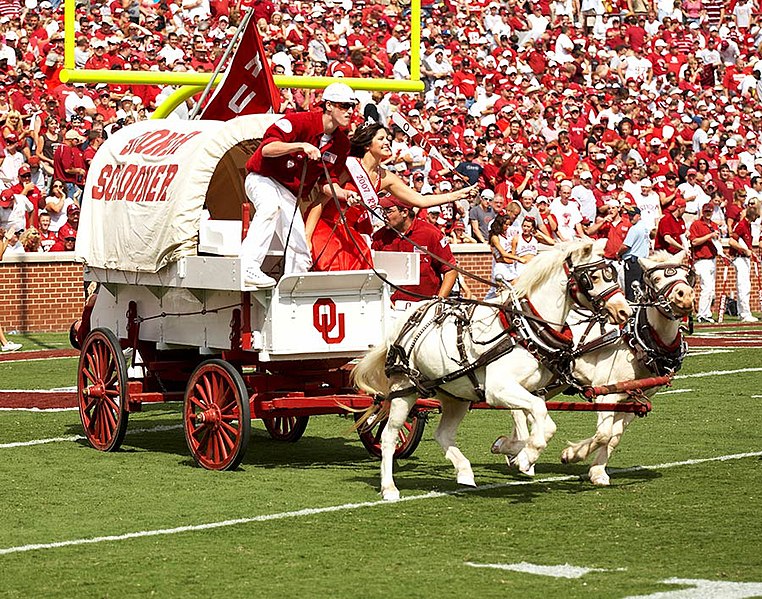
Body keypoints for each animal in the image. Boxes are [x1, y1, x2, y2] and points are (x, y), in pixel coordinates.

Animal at [352, 240, 628, 502]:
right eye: (593, 277)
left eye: (612, 273)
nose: (624, 310)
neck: (524, 328)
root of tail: (406, 316)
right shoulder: (499, 389)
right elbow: (540, 417)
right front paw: (525, 456)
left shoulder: (533, 390)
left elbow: (538, 421)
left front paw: (514, 449)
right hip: (404, 390)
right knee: (389, 437)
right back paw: (389, 487)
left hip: (455, 396)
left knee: (443, 434)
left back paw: (465, 472)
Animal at [492, 251, 696, 486]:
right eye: (656, 279)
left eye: (686, 275)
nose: (685, 295)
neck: (638, 340)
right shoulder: (606, 393)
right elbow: (604, 434)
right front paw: (572, 454)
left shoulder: (637, 398)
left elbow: (614, 436)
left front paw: (597, 471)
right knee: (516, 409)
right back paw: (514, 448)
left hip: (551, 382)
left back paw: (516, 450)